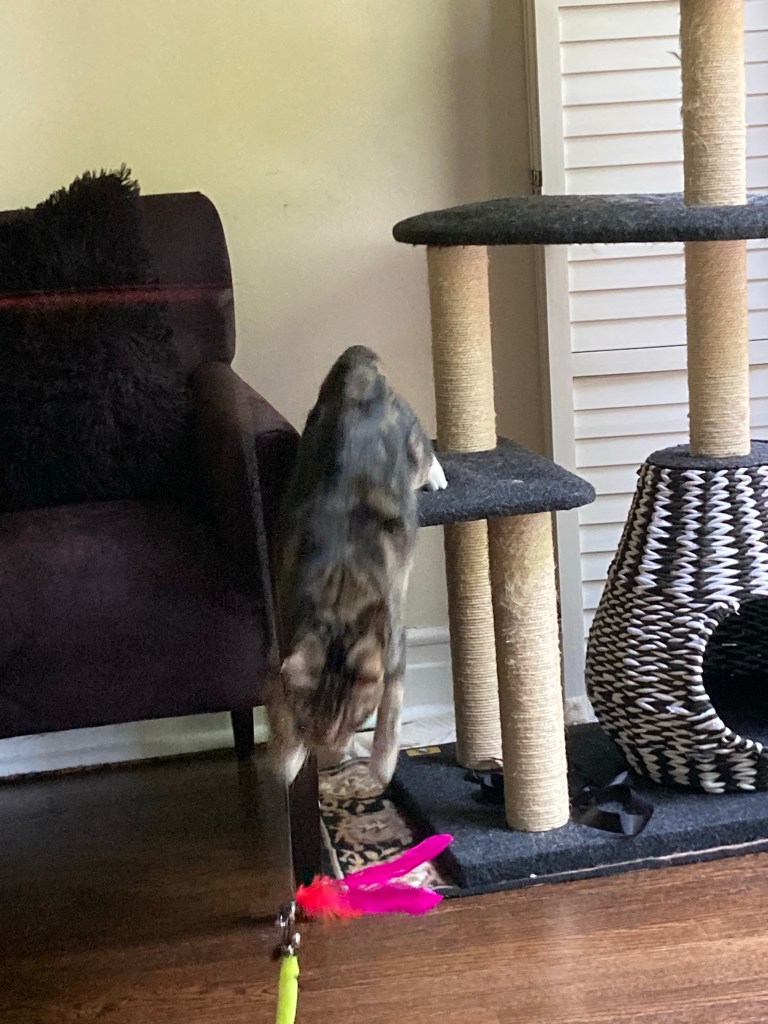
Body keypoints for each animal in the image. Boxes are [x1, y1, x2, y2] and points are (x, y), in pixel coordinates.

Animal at [266, 345, 447, 789]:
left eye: (355, 720)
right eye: (307, 724)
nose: (331, 754)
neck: (338, 604)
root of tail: (359, 372)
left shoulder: (394, 643)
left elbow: (393, 711)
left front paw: (381, 766)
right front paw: (287, 758)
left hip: (411, 437)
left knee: (425, 451)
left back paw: (436, 476)